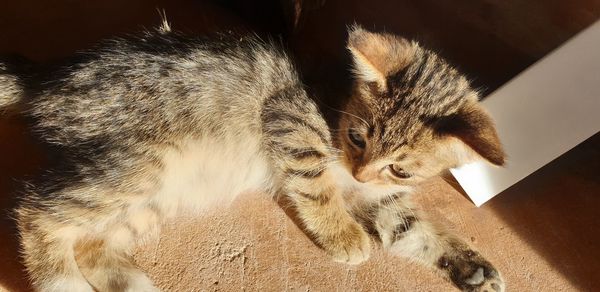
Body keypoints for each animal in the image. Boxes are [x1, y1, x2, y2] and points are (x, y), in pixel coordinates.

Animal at [0, 22, 506, 292]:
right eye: (357, 138)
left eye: (399, 168)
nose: (360, 171)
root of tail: (47, 78)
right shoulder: (288, 120)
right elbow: (317, 188)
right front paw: (344, 235)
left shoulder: (380, 197)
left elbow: (416, 228)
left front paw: (474, 267)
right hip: (143, 166)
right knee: (35, 212)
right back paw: (62, 282)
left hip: (153, 199)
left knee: (90, 243)